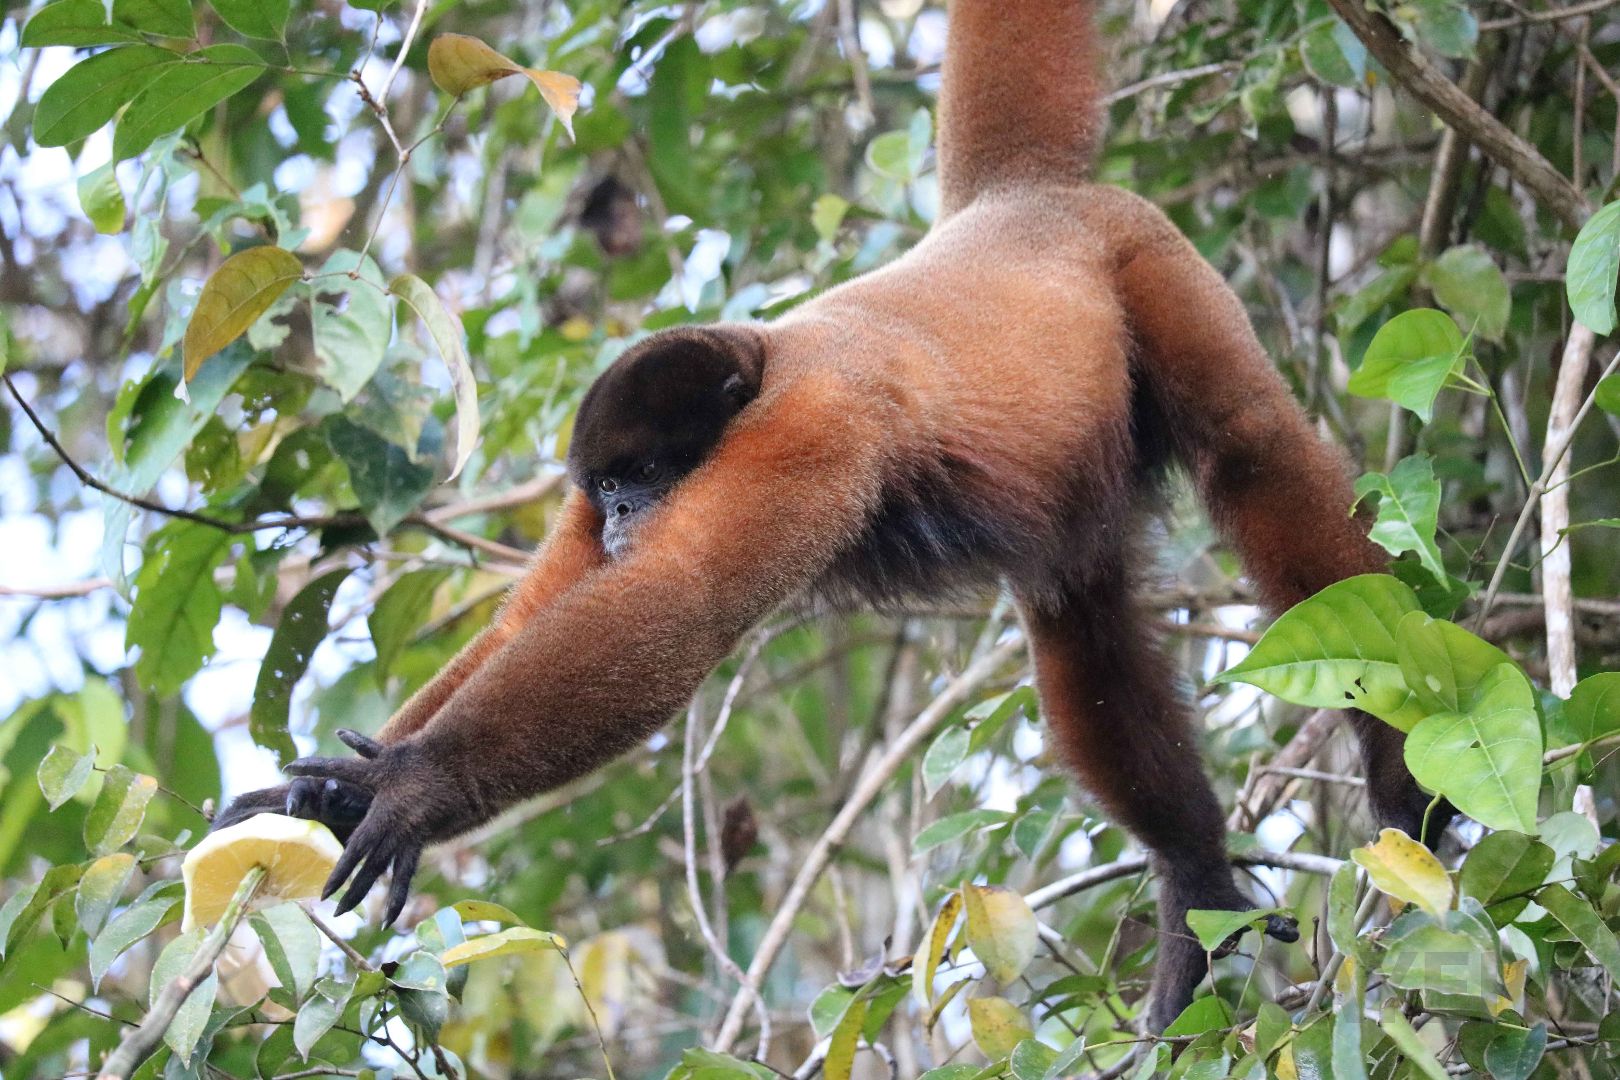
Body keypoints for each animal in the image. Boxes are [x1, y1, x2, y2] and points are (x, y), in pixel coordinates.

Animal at [214, 0, 1448, 1031]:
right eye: (605, 485)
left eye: (648, 472)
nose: (619, 516)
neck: (761, 364)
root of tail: (1013, 202)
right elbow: (528, 626)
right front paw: (326, 795)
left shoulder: (817, 425)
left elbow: (681, 599)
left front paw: (415, 790)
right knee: (1080, 613)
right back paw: (1196, 882)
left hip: (1143, 251)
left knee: (1250, 449)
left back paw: (1398, 780)